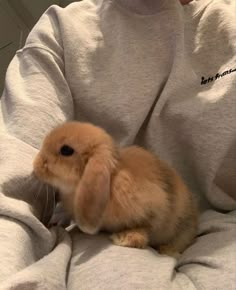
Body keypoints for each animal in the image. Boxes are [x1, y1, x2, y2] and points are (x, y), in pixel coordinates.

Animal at [33, 121, 197, 258]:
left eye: (66, 150)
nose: (35, 167)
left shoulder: (154, 210)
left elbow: (145, 226)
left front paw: (123, 239)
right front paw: (57, 220)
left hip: (182, 231)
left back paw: (167, 251)